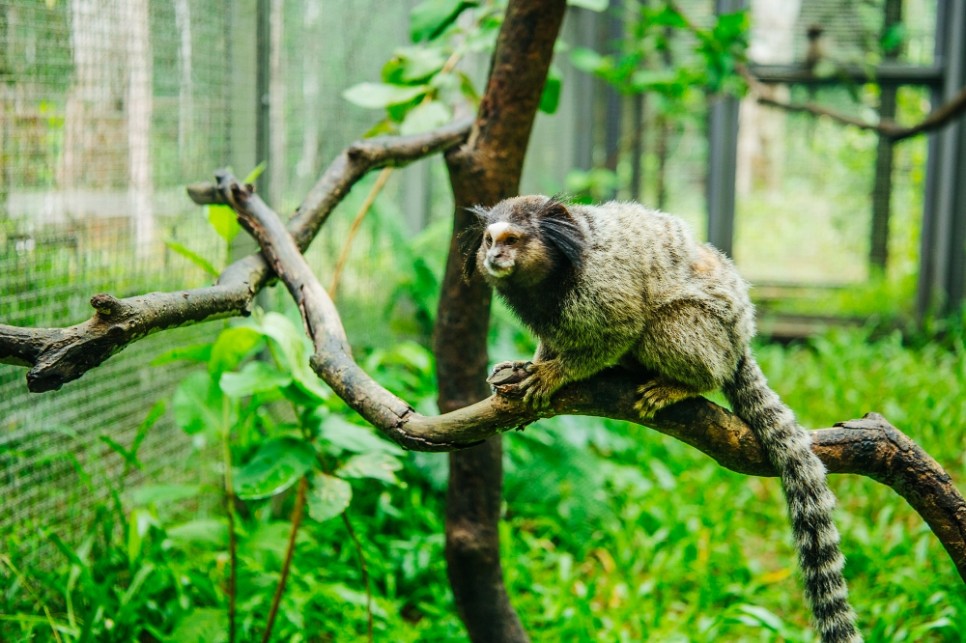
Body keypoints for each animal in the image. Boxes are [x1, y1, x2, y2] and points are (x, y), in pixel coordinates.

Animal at [466, 196, 864, 643]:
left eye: (512, 240)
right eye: (489, 241)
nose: (495, 257)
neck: (553, 271)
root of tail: (741, 340)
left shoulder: (602, 283)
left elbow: (622, 326)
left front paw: (557, 373)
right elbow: (552, 339)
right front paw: (533, 363)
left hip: (709, 336)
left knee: (664, 326)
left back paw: (682, 385)